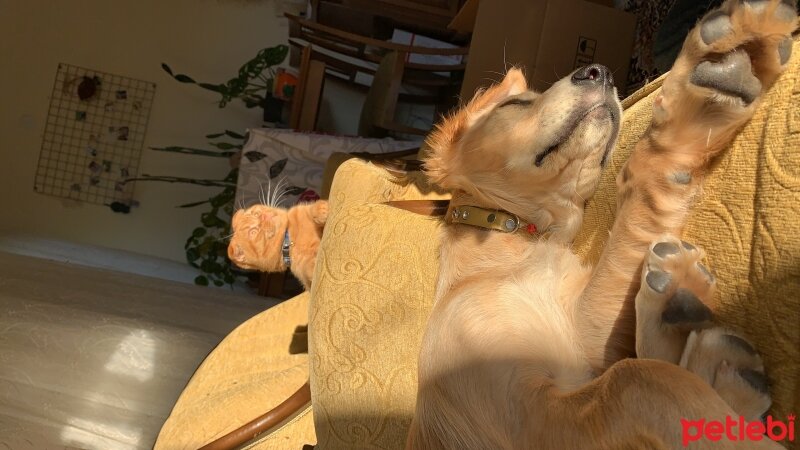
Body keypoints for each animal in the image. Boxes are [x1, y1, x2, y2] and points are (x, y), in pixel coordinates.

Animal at [410, 1, 796, 448]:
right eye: (513, 106)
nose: (600, 72)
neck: (522, 243)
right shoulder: (528, 418)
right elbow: (636, 379)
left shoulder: (586, 336)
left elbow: (639, 200)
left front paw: (700, 105)